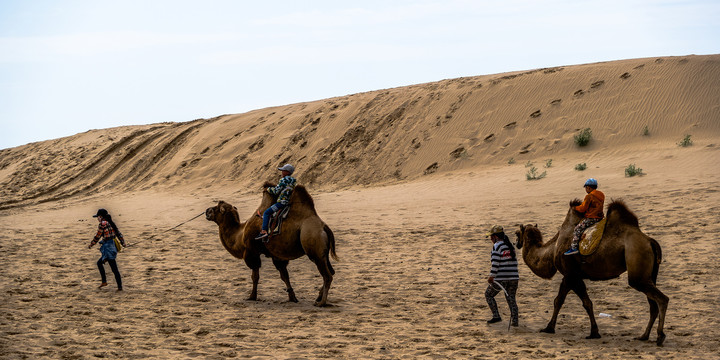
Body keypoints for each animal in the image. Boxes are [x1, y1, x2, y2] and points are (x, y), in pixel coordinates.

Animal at [204, 181, 336, 306]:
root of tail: (324, 227)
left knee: (327, 275)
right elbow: (284, 275)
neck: (240, 235)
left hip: (314, 248)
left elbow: (255, 276)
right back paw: (318, 297)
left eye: (216, 207)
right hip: (323, 253)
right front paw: (292, 297)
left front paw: (252, 296)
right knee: (331, 271)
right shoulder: (277, 255)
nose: (206, 211)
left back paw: (321, 303)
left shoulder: (251, 252)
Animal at [516, 200, 668, 346]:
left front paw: (549, 328)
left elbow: (562, 301)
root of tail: (650, 241)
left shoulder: (570, 274)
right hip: (649, 274)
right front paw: (594, 332)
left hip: (637, 268)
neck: (553, 250)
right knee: (652, 305)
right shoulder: (573, 276)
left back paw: (660, 336)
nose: (517, 243)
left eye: (517, 233)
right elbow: (583, 302)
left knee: (661, 299)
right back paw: (644, 336)